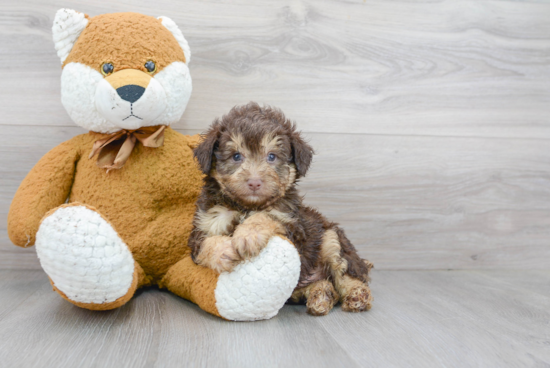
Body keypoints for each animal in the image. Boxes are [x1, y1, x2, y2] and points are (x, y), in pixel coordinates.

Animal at [190, 102, 376, 314]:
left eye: (272, 156)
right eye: (236, 156)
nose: (254, 182)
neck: (246, 206)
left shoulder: (293, 226)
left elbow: (266, 216)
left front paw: (248, 235)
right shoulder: (205, 223)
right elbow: (206, 244)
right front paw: (224, 250)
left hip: (331, 239)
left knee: (346, 274)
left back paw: (357, 296)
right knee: (325, 285)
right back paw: (320, 297)